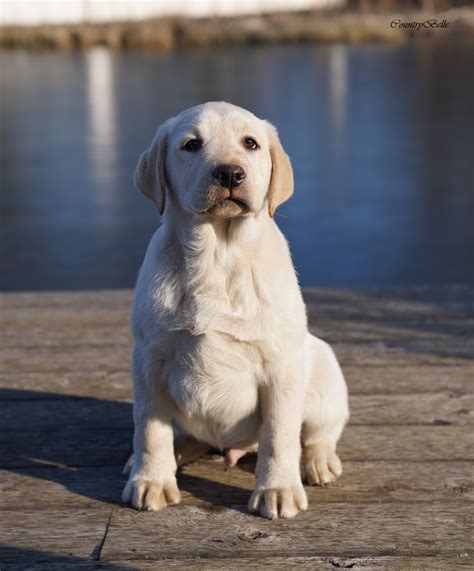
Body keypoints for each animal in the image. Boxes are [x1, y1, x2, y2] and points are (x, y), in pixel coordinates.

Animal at [124, 100, 350, 520]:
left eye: (251, 143)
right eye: (191, 144)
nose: (230, 172)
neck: (218, 256)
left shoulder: (280, 366)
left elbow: (279, 435)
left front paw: (277, 489)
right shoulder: (149, 359)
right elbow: (149, 428)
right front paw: (152, 480)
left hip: (323, 372)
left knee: (316, 435)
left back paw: (319, 463)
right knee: (180, 434)